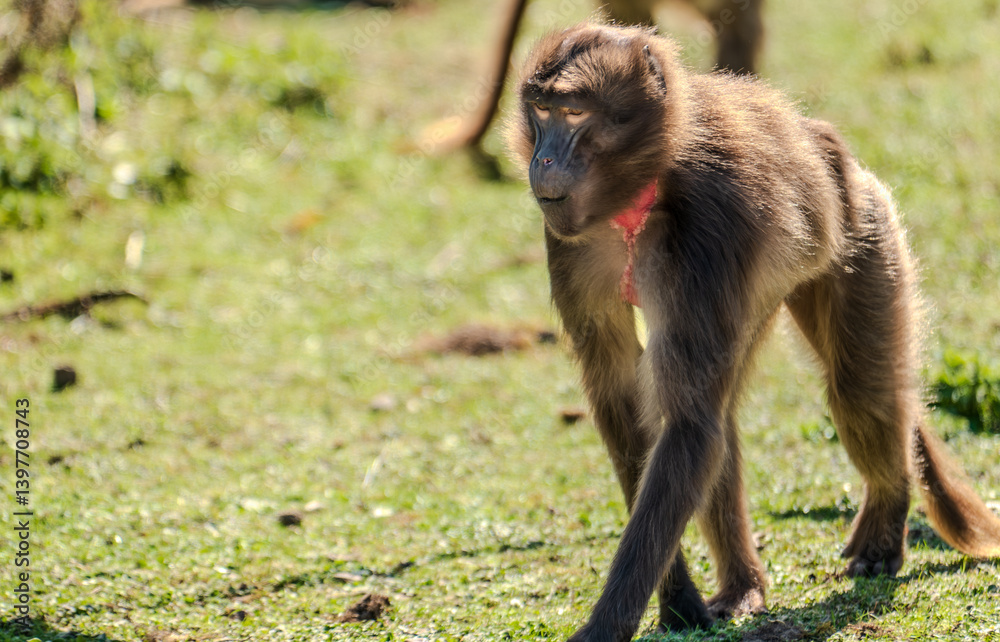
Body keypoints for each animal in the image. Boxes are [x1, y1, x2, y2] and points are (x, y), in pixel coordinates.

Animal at [505, 22, 1000, 642]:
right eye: (540, 110)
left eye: (573, 112)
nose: (543, 158)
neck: (641, 195)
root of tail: (835, 152)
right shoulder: (569, 239)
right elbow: (628, 404)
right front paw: (678, 601)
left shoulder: (708, 232)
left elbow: (687, 428)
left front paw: (607, 626)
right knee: (724, 420)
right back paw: (743, 586)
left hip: (865, 231)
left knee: (857, 390)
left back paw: (886, 524)